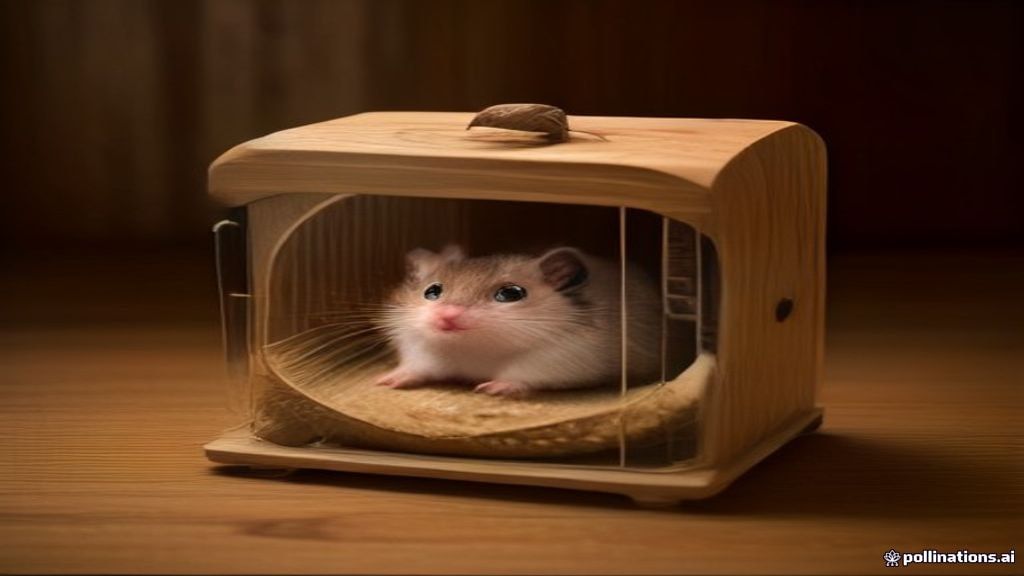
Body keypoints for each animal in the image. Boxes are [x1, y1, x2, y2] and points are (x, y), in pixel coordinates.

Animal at [375, 245, 663, 397]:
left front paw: (489, 388)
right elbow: (418, 368)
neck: (473, 349)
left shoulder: (558, 360)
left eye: (511, 294)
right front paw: (384, 381)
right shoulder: (424, 352)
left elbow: (520, 375)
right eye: (432, 291)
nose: (446, 316)